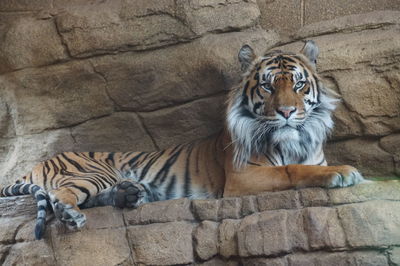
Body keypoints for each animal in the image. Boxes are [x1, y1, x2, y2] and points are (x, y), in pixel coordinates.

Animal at [0, 40, 366, 241]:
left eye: (299, 84)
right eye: (267, 86)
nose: (287, 112)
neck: (294, 140)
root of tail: (41, 160)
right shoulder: (242, 177)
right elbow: (290, 171)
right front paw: (344, 172)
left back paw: (130, 194)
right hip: (91, 172)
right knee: (61, 196)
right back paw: (73, 215)